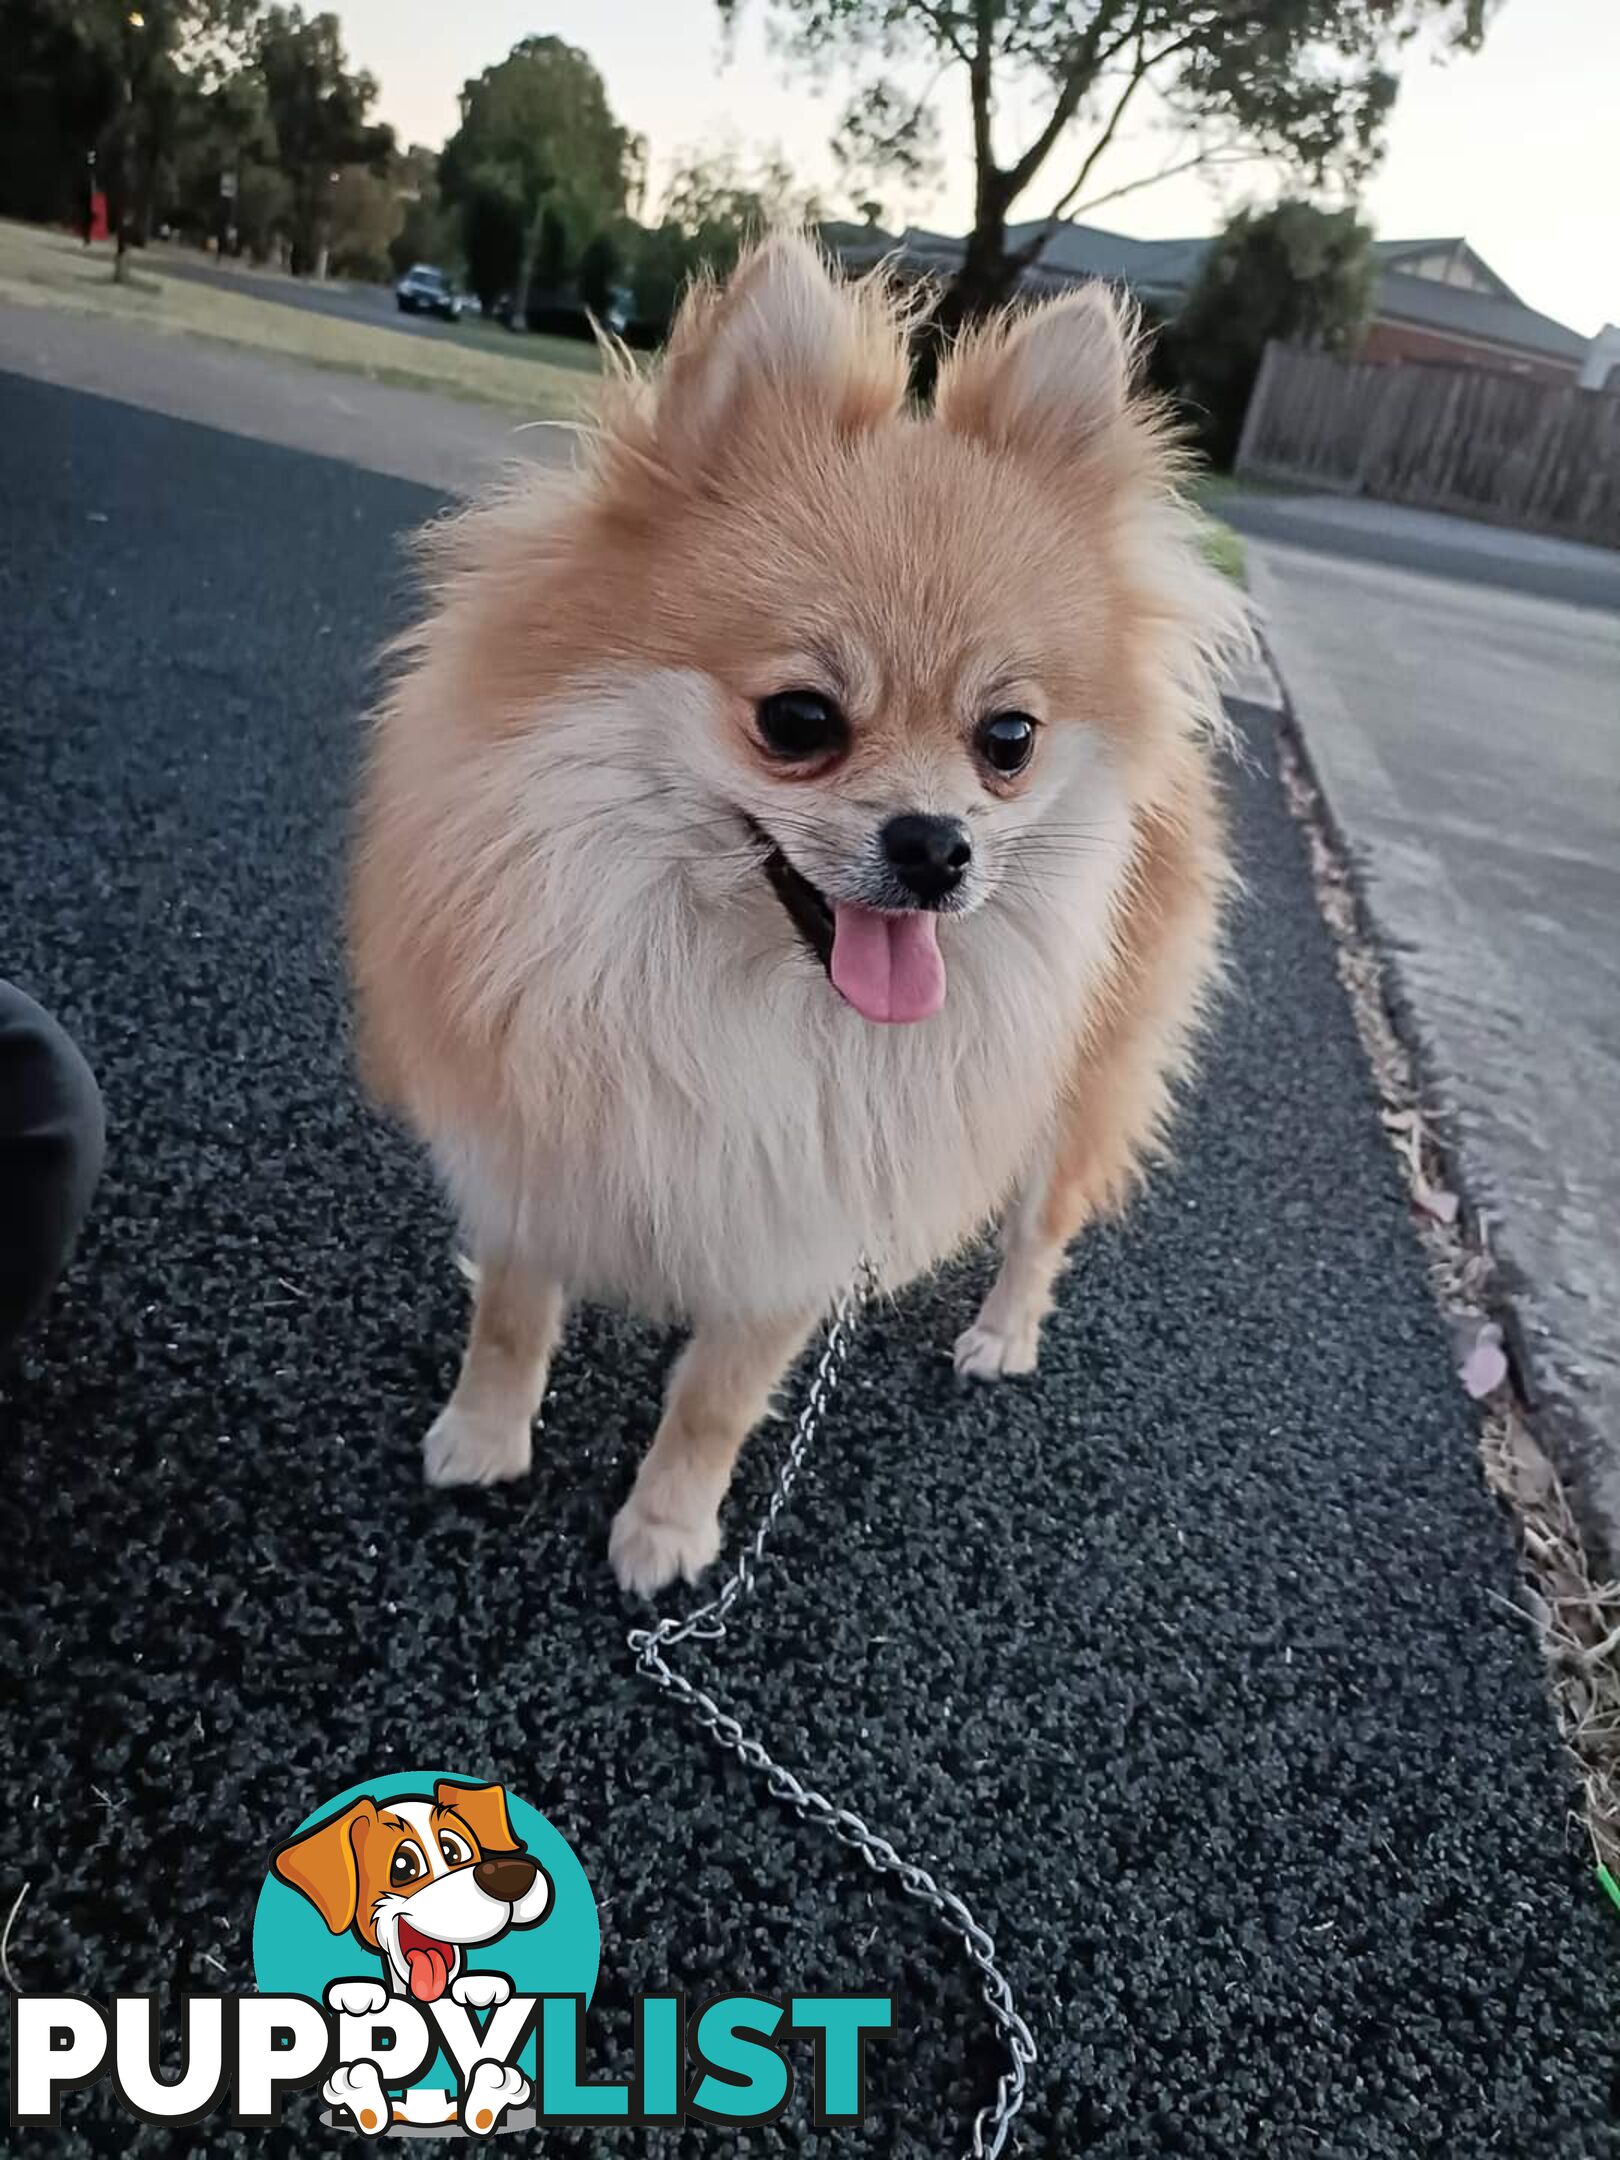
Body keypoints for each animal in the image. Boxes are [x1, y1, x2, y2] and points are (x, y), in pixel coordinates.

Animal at [354, 236, 1244, 1598]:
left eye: (1008, 741)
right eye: (800, 721)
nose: (937, 848)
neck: (726, 975)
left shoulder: (810, 1210)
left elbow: (716, 1398)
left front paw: (667, 1530)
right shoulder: (531, 1135)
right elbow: (509, 1312)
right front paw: (483, 1437)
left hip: (1079, 1081)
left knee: (1043, 1224)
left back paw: (1001, 1334)